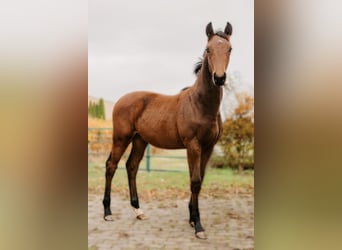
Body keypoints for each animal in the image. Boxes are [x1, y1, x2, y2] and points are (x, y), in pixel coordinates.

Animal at [103, 22, 234, 239]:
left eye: (230, 49)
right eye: (208, 49)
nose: (219, 78)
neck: (201, 104)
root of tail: (121, 100)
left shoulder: (208, 147)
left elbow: (199, 180)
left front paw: (192, 219)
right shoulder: (193, 146)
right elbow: (195, 181)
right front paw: (198, 226)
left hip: (140, 140)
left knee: (131, 166)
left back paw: (138, 211)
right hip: (121, 138)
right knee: (111, 165)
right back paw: (107, 212)